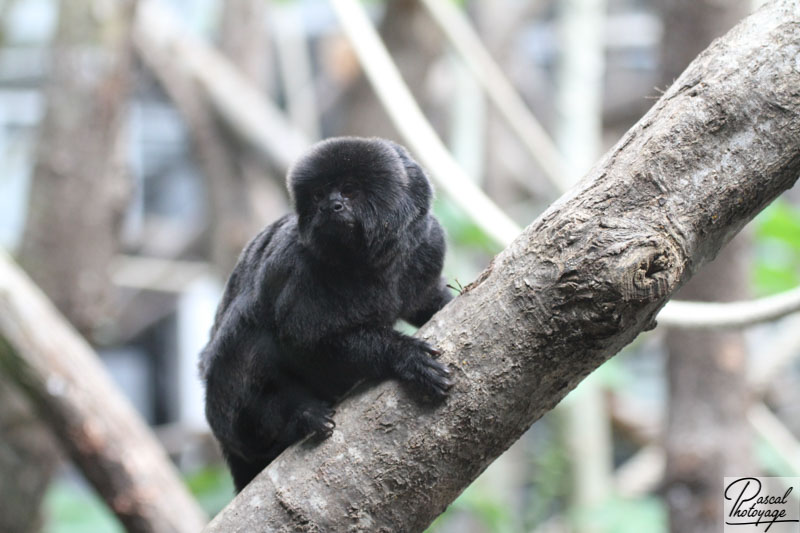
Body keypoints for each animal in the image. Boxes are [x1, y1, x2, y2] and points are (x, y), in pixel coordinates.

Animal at [199, 135, 454, 488]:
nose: (331, 207)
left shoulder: (428, 244)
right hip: (228, 416)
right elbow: (305, 343)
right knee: (248, 335)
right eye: (319, 195)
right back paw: (298, 417)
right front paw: (405, 355)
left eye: (348, 191)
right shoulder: (300, 269)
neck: (372, 265)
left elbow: (426, 300)